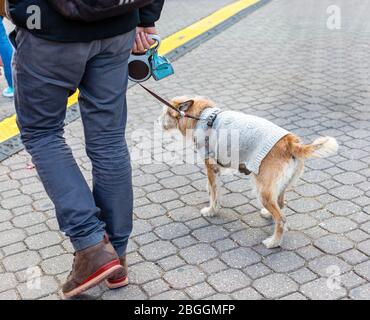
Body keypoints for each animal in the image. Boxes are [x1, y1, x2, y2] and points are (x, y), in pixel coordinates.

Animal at [158, 96, 338, 249]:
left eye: (165, 112)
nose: (158, 122)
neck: (203, 115)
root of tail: (291, 142)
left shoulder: (211, 167)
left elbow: (214, 194)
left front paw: (211, 211)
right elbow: (212, 188)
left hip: (262, 190)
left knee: (281, 219)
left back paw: (274, 242)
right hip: (279, 187)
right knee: (280, 205)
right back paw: (268, 215)